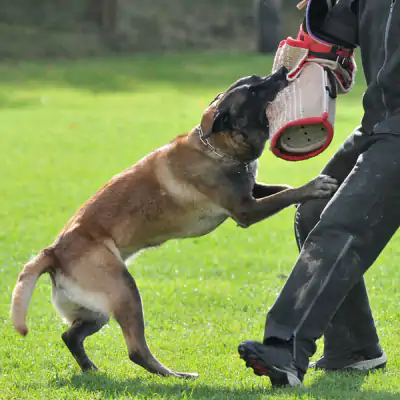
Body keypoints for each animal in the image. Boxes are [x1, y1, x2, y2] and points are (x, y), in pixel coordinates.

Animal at [10, 67, 338, 380]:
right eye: (254, 90)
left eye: (257, 78)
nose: (282, 72)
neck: (215, 146)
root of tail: (53, 251)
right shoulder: (245, 210)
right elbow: (285, 193)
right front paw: (315, 187)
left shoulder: (250, 192)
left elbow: (281, 188)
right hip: (125, 291)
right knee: (136, 351)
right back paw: (177, 375)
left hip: (96, 310)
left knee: (70, 335)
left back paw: (91, 369)